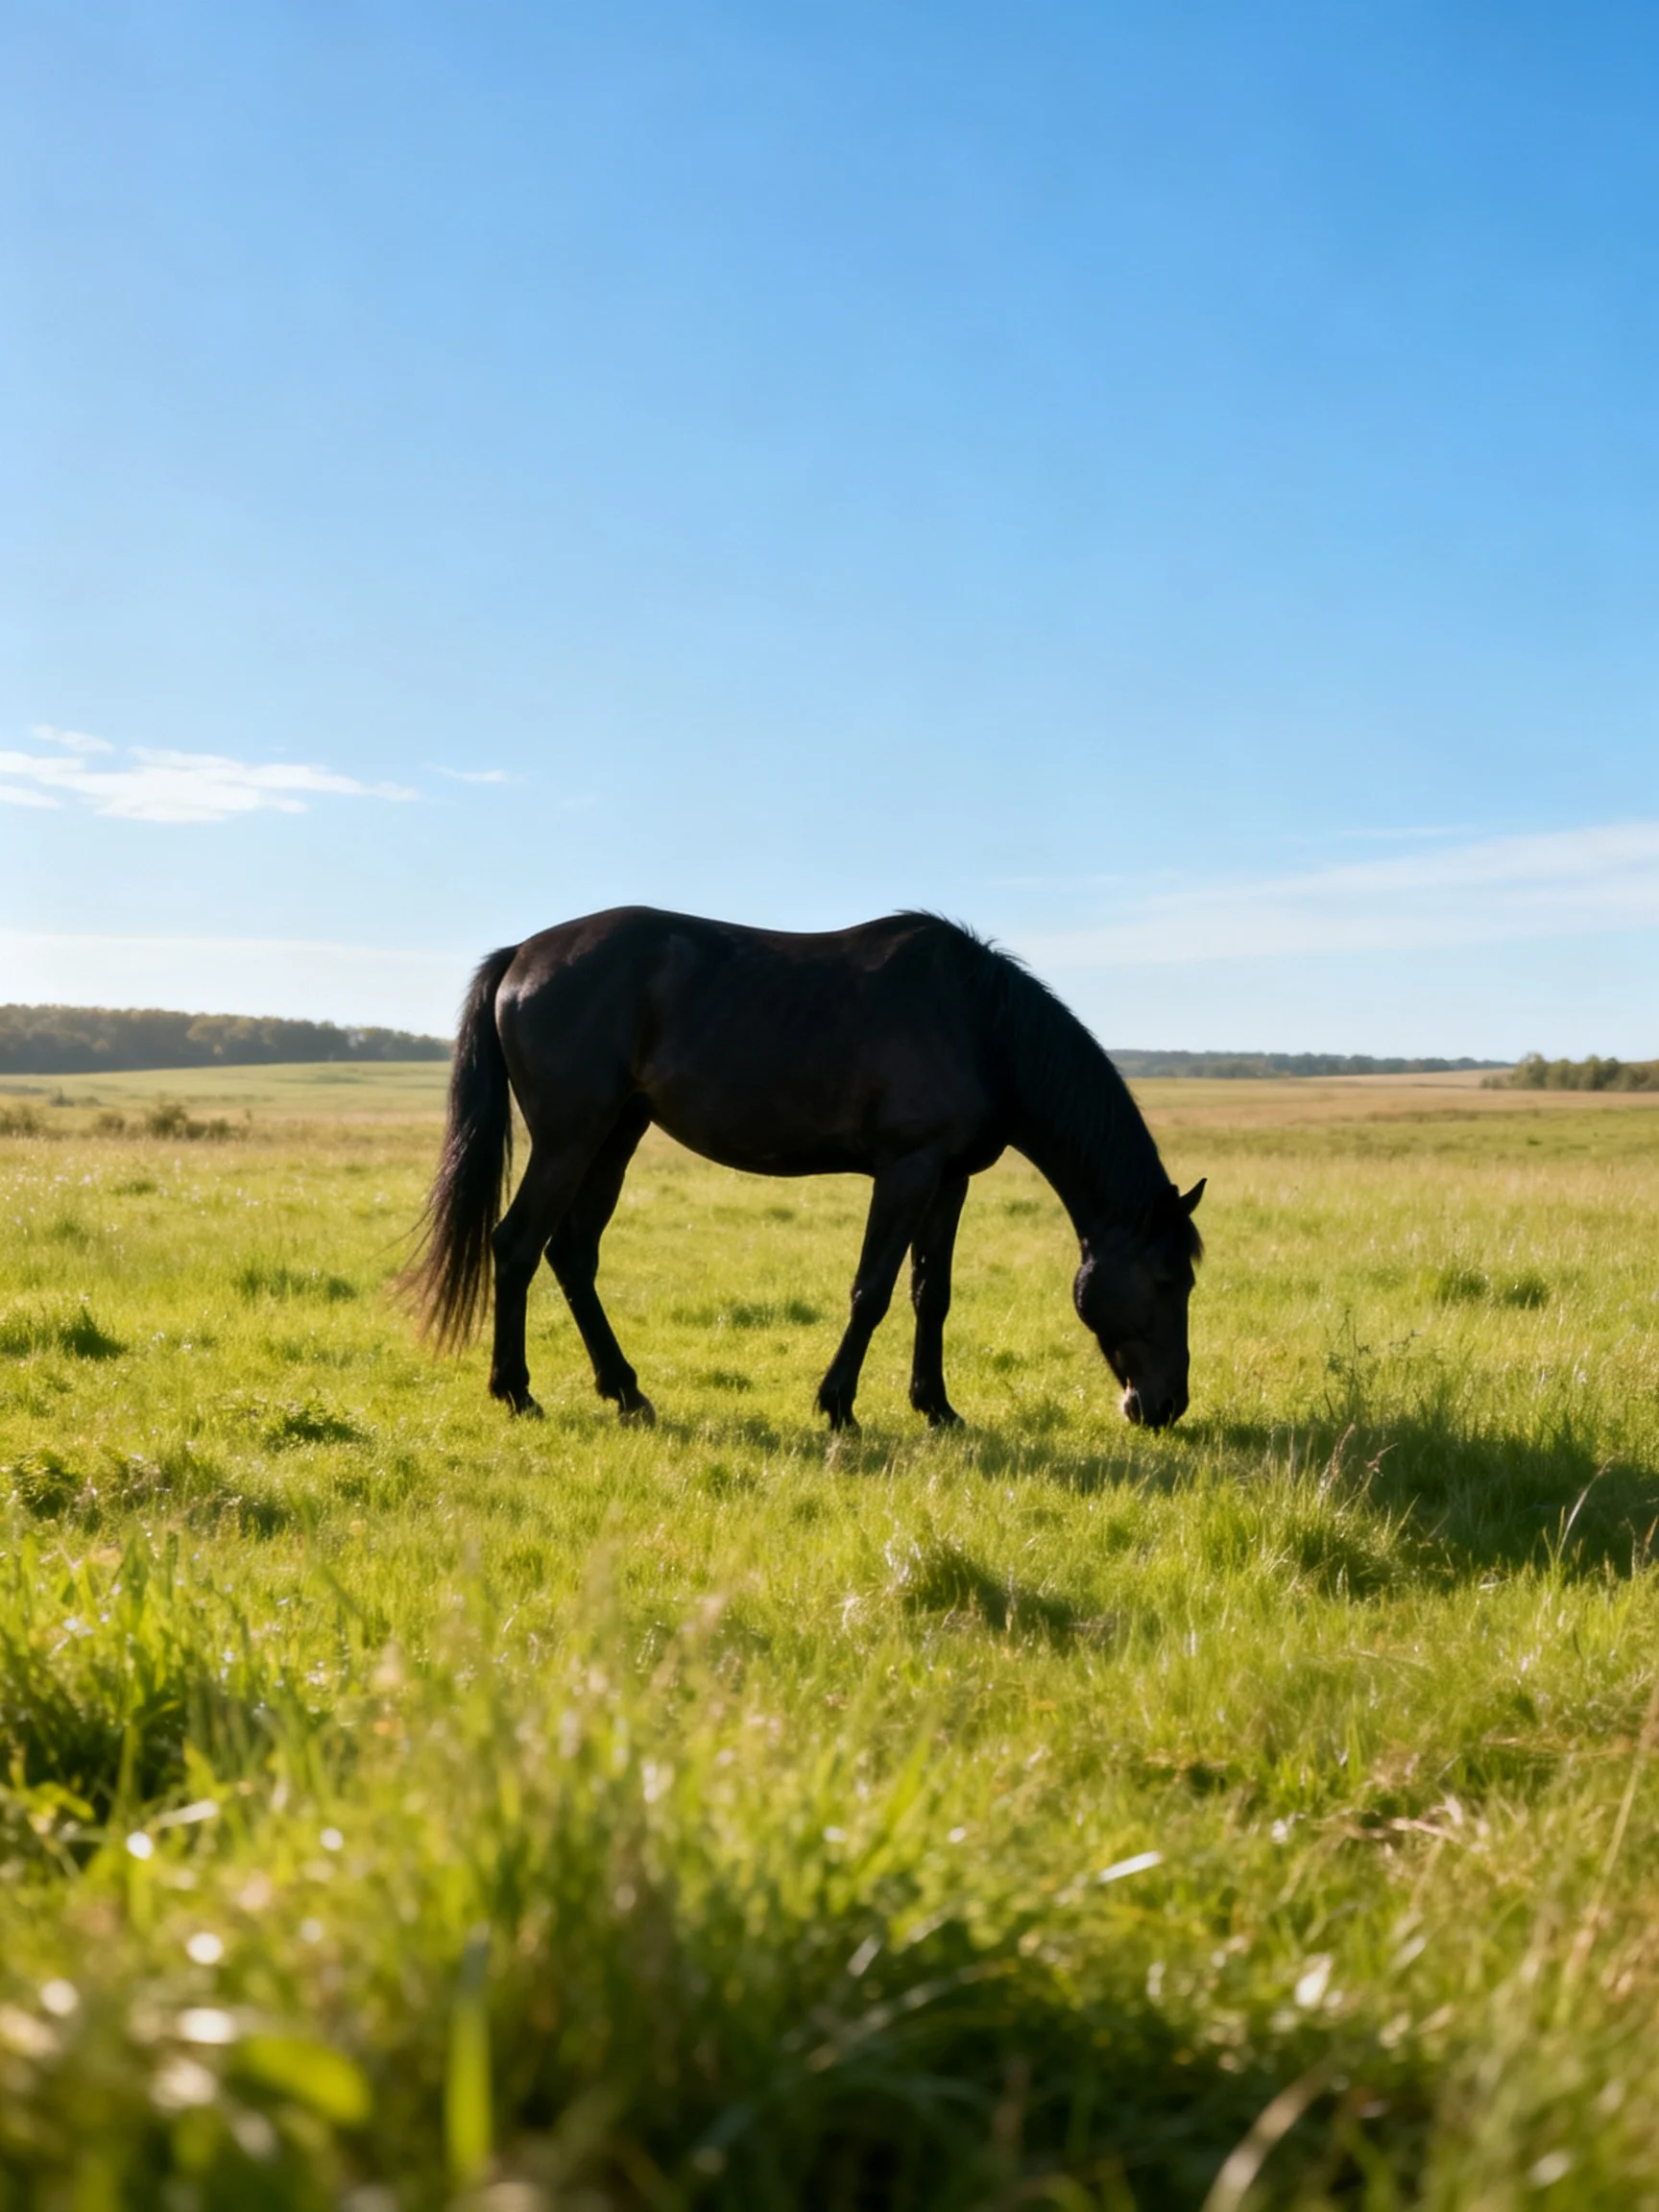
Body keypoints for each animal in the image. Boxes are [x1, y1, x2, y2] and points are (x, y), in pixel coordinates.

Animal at [408, 907, 1204, 1432]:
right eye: (1171, 1281)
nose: (1166, 1407)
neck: (982, 1025)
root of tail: (522, 954)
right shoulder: (907, 1169)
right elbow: (872, 1291)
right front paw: (839, 1406)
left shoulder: (949, 1179)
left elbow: (931, 1295)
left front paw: (937, 1407)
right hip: (570, 1137)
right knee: (517, 1246)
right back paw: (517, 1393)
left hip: (616, 1135)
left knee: (572, 1255)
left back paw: (627, 1393)